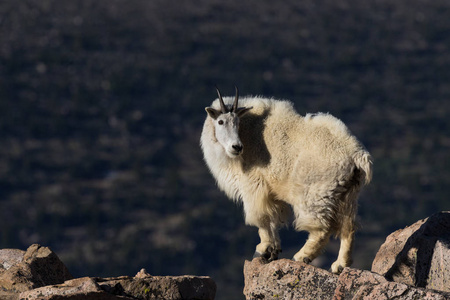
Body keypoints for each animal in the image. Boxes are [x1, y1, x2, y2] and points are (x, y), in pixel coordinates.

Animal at [201, 88, 372, 274]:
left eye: (237, 123)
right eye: (220, 122)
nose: (236, 147)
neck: (249, 132)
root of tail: (357, 154)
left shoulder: (253, 184)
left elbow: (262, 217)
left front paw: (263, 249)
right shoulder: (271, 191)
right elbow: (273, 218)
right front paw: (273, 251)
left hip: (315, 193)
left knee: (321, 228)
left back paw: (302, 256)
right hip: (348, 193)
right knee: (349, 227)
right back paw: (339, 265)